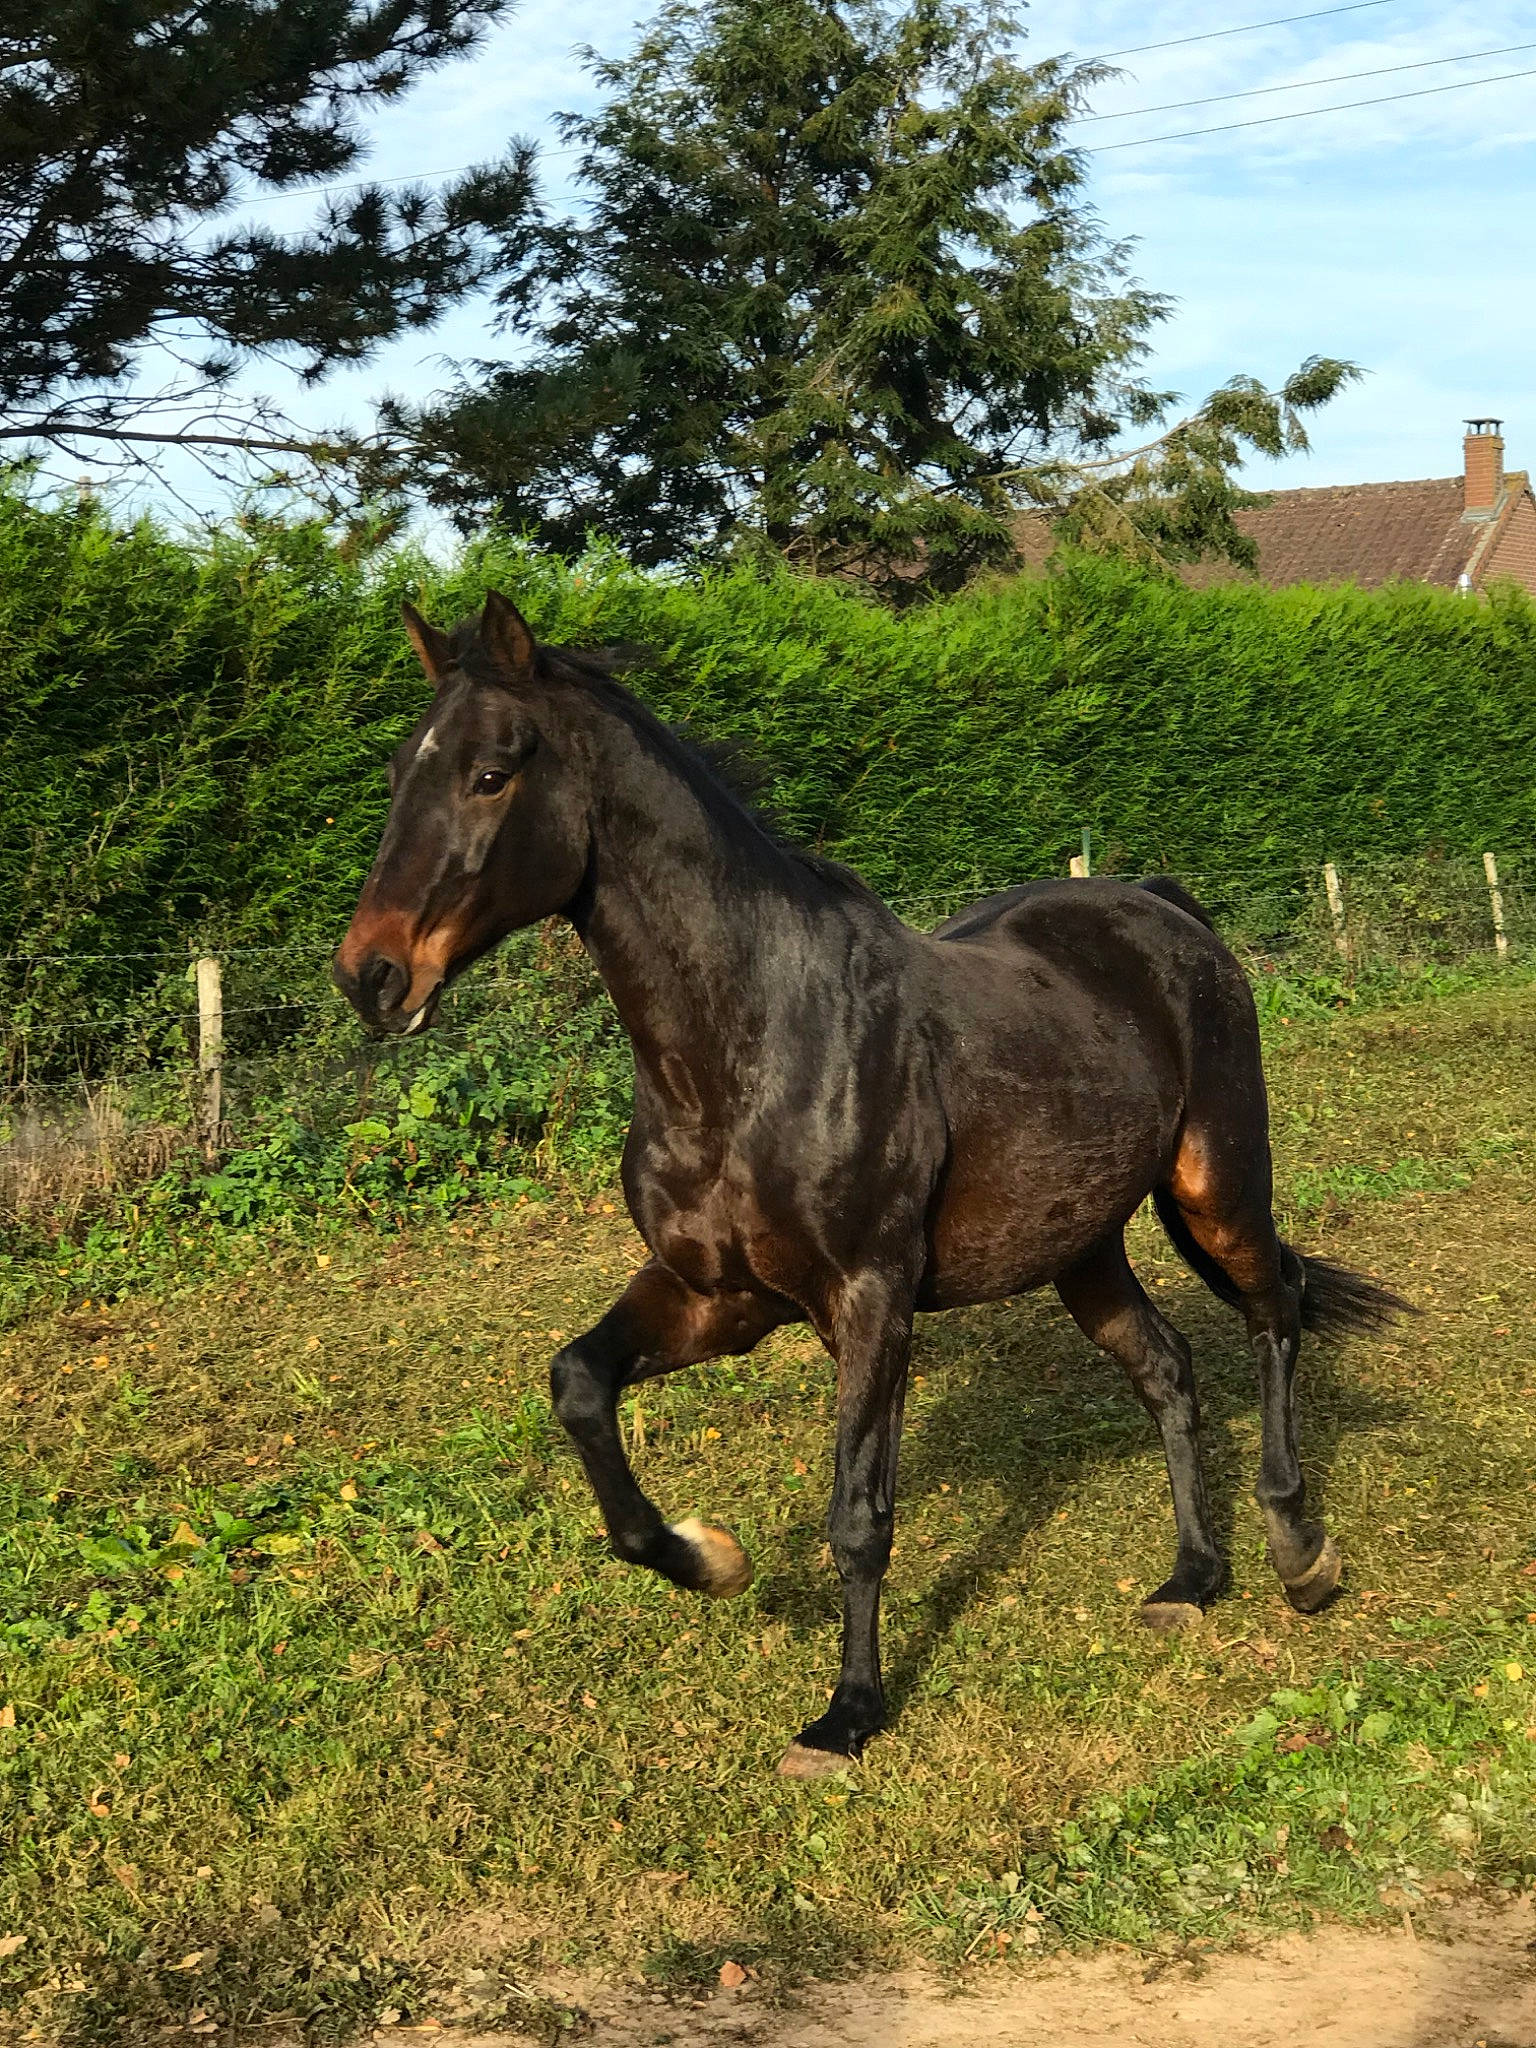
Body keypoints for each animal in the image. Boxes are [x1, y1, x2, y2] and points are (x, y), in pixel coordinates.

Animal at [334, 590, 1405, 1778]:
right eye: (400, 769)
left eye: (490, 772)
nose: (371, 975)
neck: (753, 1047)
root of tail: (1168, 908)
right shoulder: (721, 1295)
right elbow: (579, 1385)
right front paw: (711, 1556)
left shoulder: (871, 1302)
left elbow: (859, 1515)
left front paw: (847, 1715)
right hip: (1081, 1244)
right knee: (1167, 1369)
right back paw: (1192, 1578)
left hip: (1215, 1186)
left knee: (1276, 1309)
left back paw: (1299, 1553)